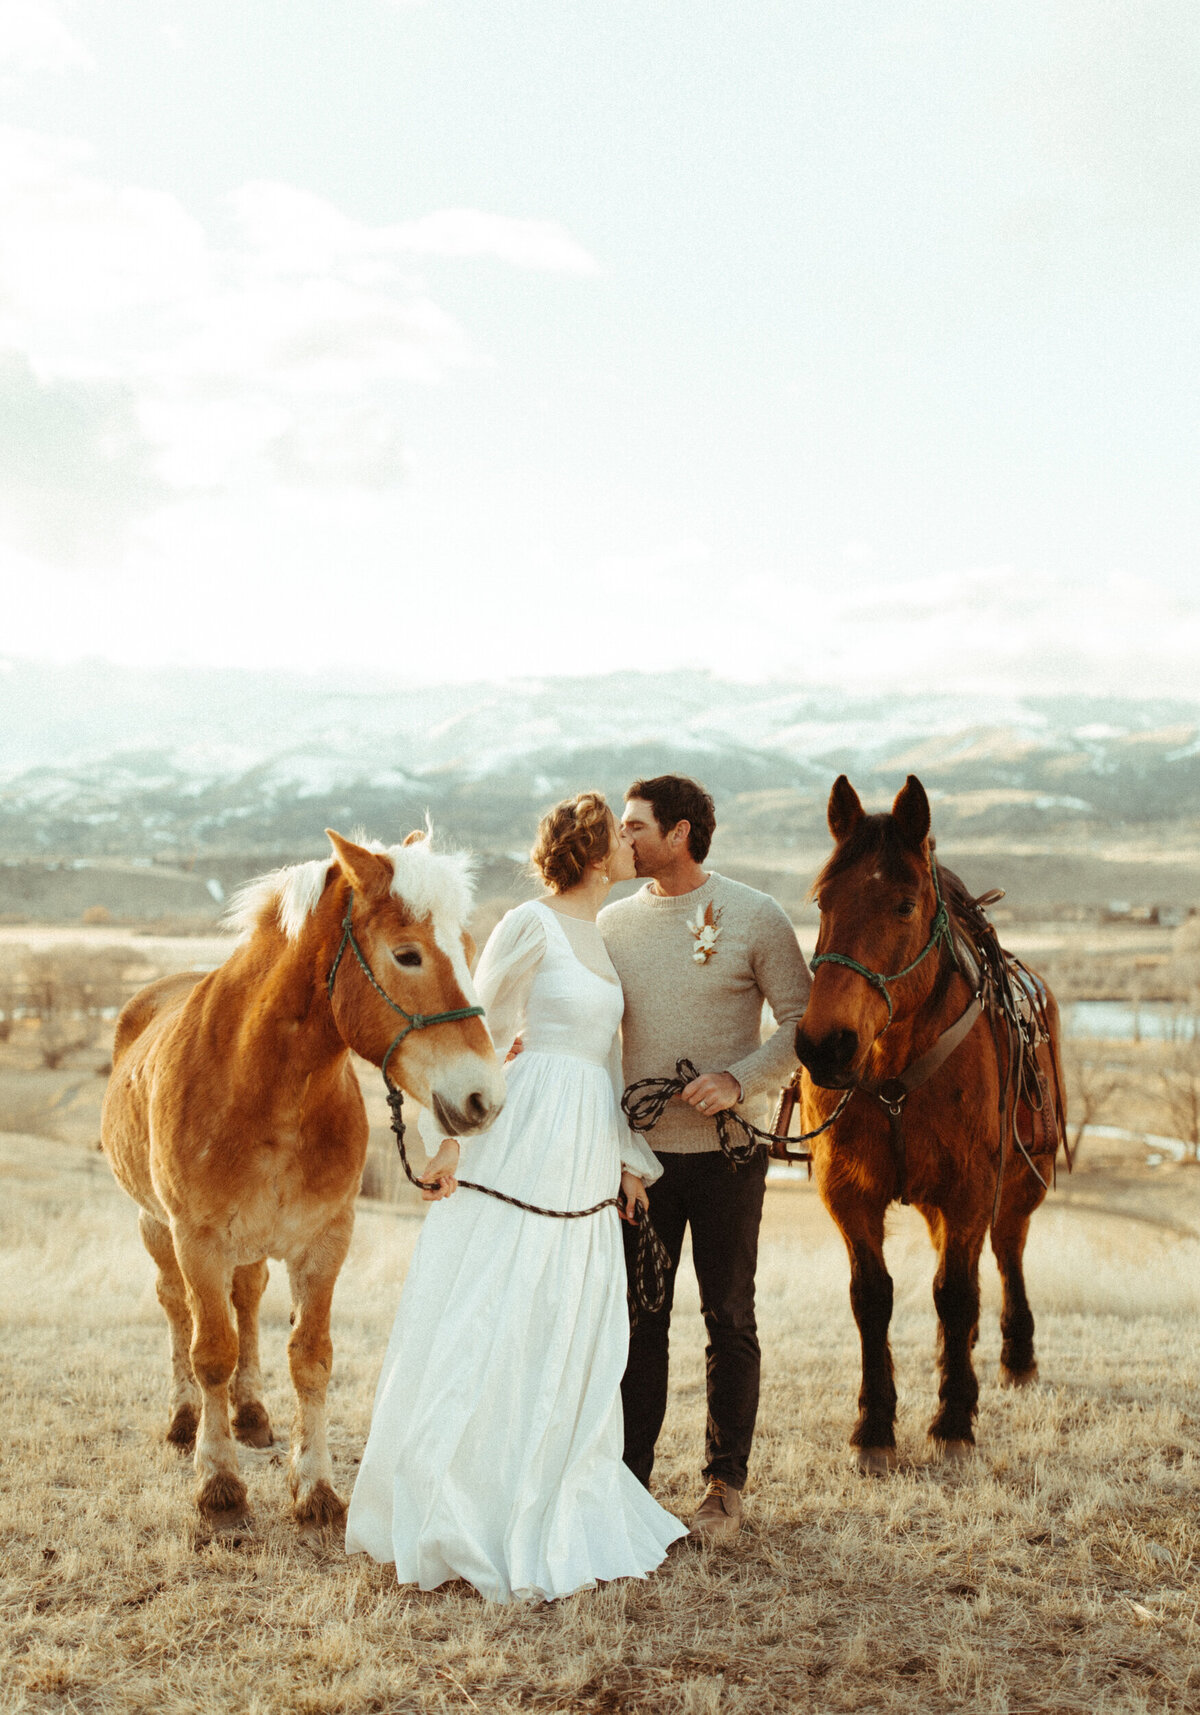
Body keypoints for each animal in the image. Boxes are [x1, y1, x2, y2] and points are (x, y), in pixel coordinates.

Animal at [97, 830, 500, 1529]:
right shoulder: (198, 1241)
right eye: (408, 955)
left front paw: (313, 1485)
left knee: (248, 1299)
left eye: (469, 948)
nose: (484, 1098)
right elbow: (211, 1352)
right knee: (176, 1308)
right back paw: (184, 1418)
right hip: (155, 1227)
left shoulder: (324, 1242)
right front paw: (219, 1484)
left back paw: (252, 1413)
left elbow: (310, 1359)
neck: (259, 1085)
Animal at [795, 778, 1056, 1474]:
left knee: (1007, 1251)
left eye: (905, 905)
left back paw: (1015, 1358)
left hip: (1022, 1181)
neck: (894, 1074)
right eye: (822, 900)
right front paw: (874, 1427)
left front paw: (954, 1422)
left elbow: (957, 1291)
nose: (825, 1044)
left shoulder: (970, 1188)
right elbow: (872, 1298)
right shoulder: (848, 1194)